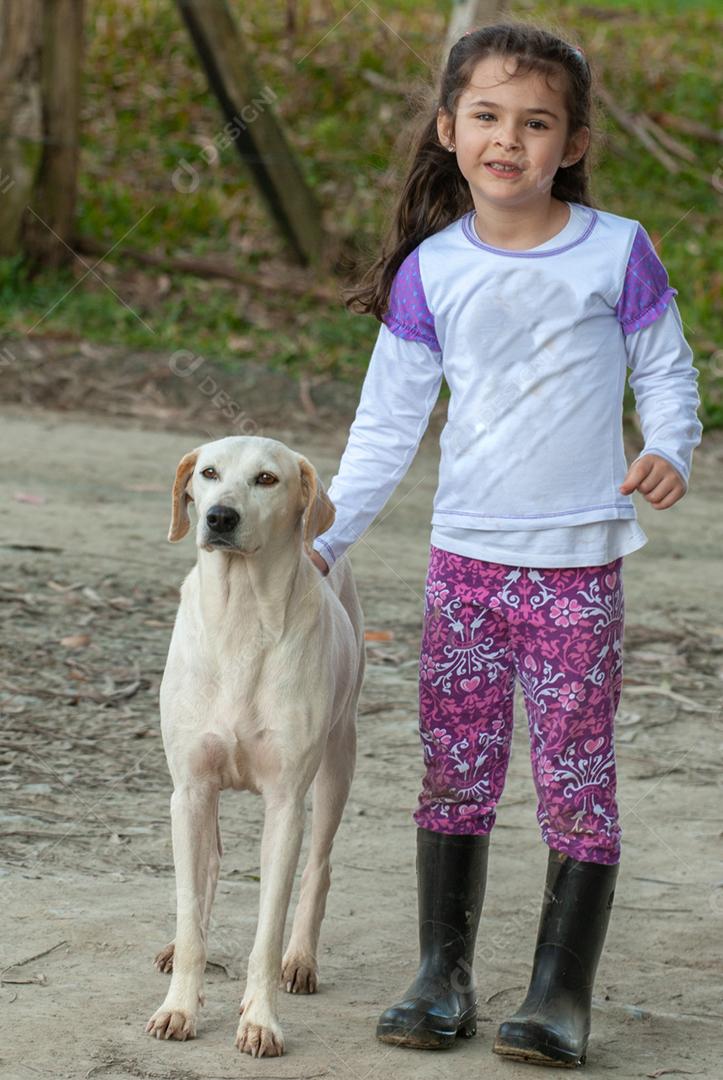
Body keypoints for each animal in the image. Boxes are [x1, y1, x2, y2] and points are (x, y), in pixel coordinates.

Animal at [144, 436, 367, 1054]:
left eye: (267, 479)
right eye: (208, 473)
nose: (220, 516)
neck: (241, 614)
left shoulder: (286, 804)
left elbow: (267, 930)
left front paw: (260, 1019)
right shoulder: (190, 789)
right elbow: (190, 901)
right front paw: (179, 1007)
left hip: (338, 760)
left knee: (319, 867)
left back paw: (301, 959)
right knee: (206, 870)